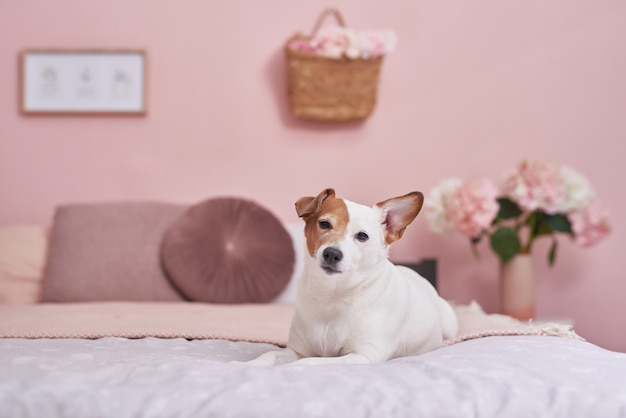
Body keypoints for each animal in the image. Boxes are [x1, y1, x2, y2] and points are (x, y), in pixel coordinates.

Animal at [245, 189, 458, 366]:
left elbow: (308, 362)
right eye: (324, 224)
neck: (333, 295)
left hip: (449, 323)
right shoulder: (297, 350)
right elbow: (270, 355)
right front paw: (245, 365)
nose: (332, 253)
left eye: (362, 236)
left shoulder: (363, 355)